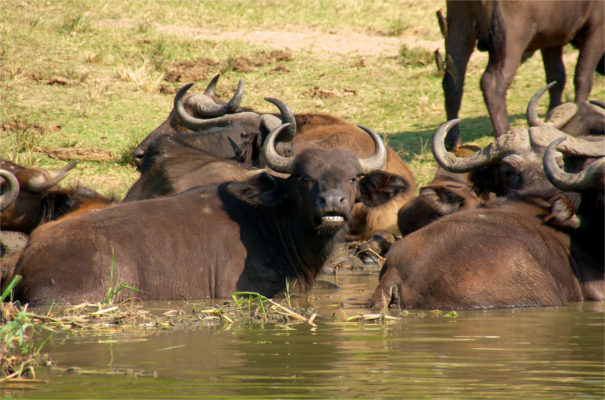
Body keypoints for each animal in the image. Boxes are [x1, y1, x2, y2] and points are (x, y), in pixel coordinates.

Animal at [442, 0, 600, 148]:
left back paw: (453, 140)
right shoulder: (597, 29)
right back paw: (504, 134)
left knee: (452, 81)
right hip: (512, 37)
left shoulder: (552, 39)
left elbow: (556, 77)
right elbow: (583, 75)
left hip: (460, 26)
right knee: (492, 83)